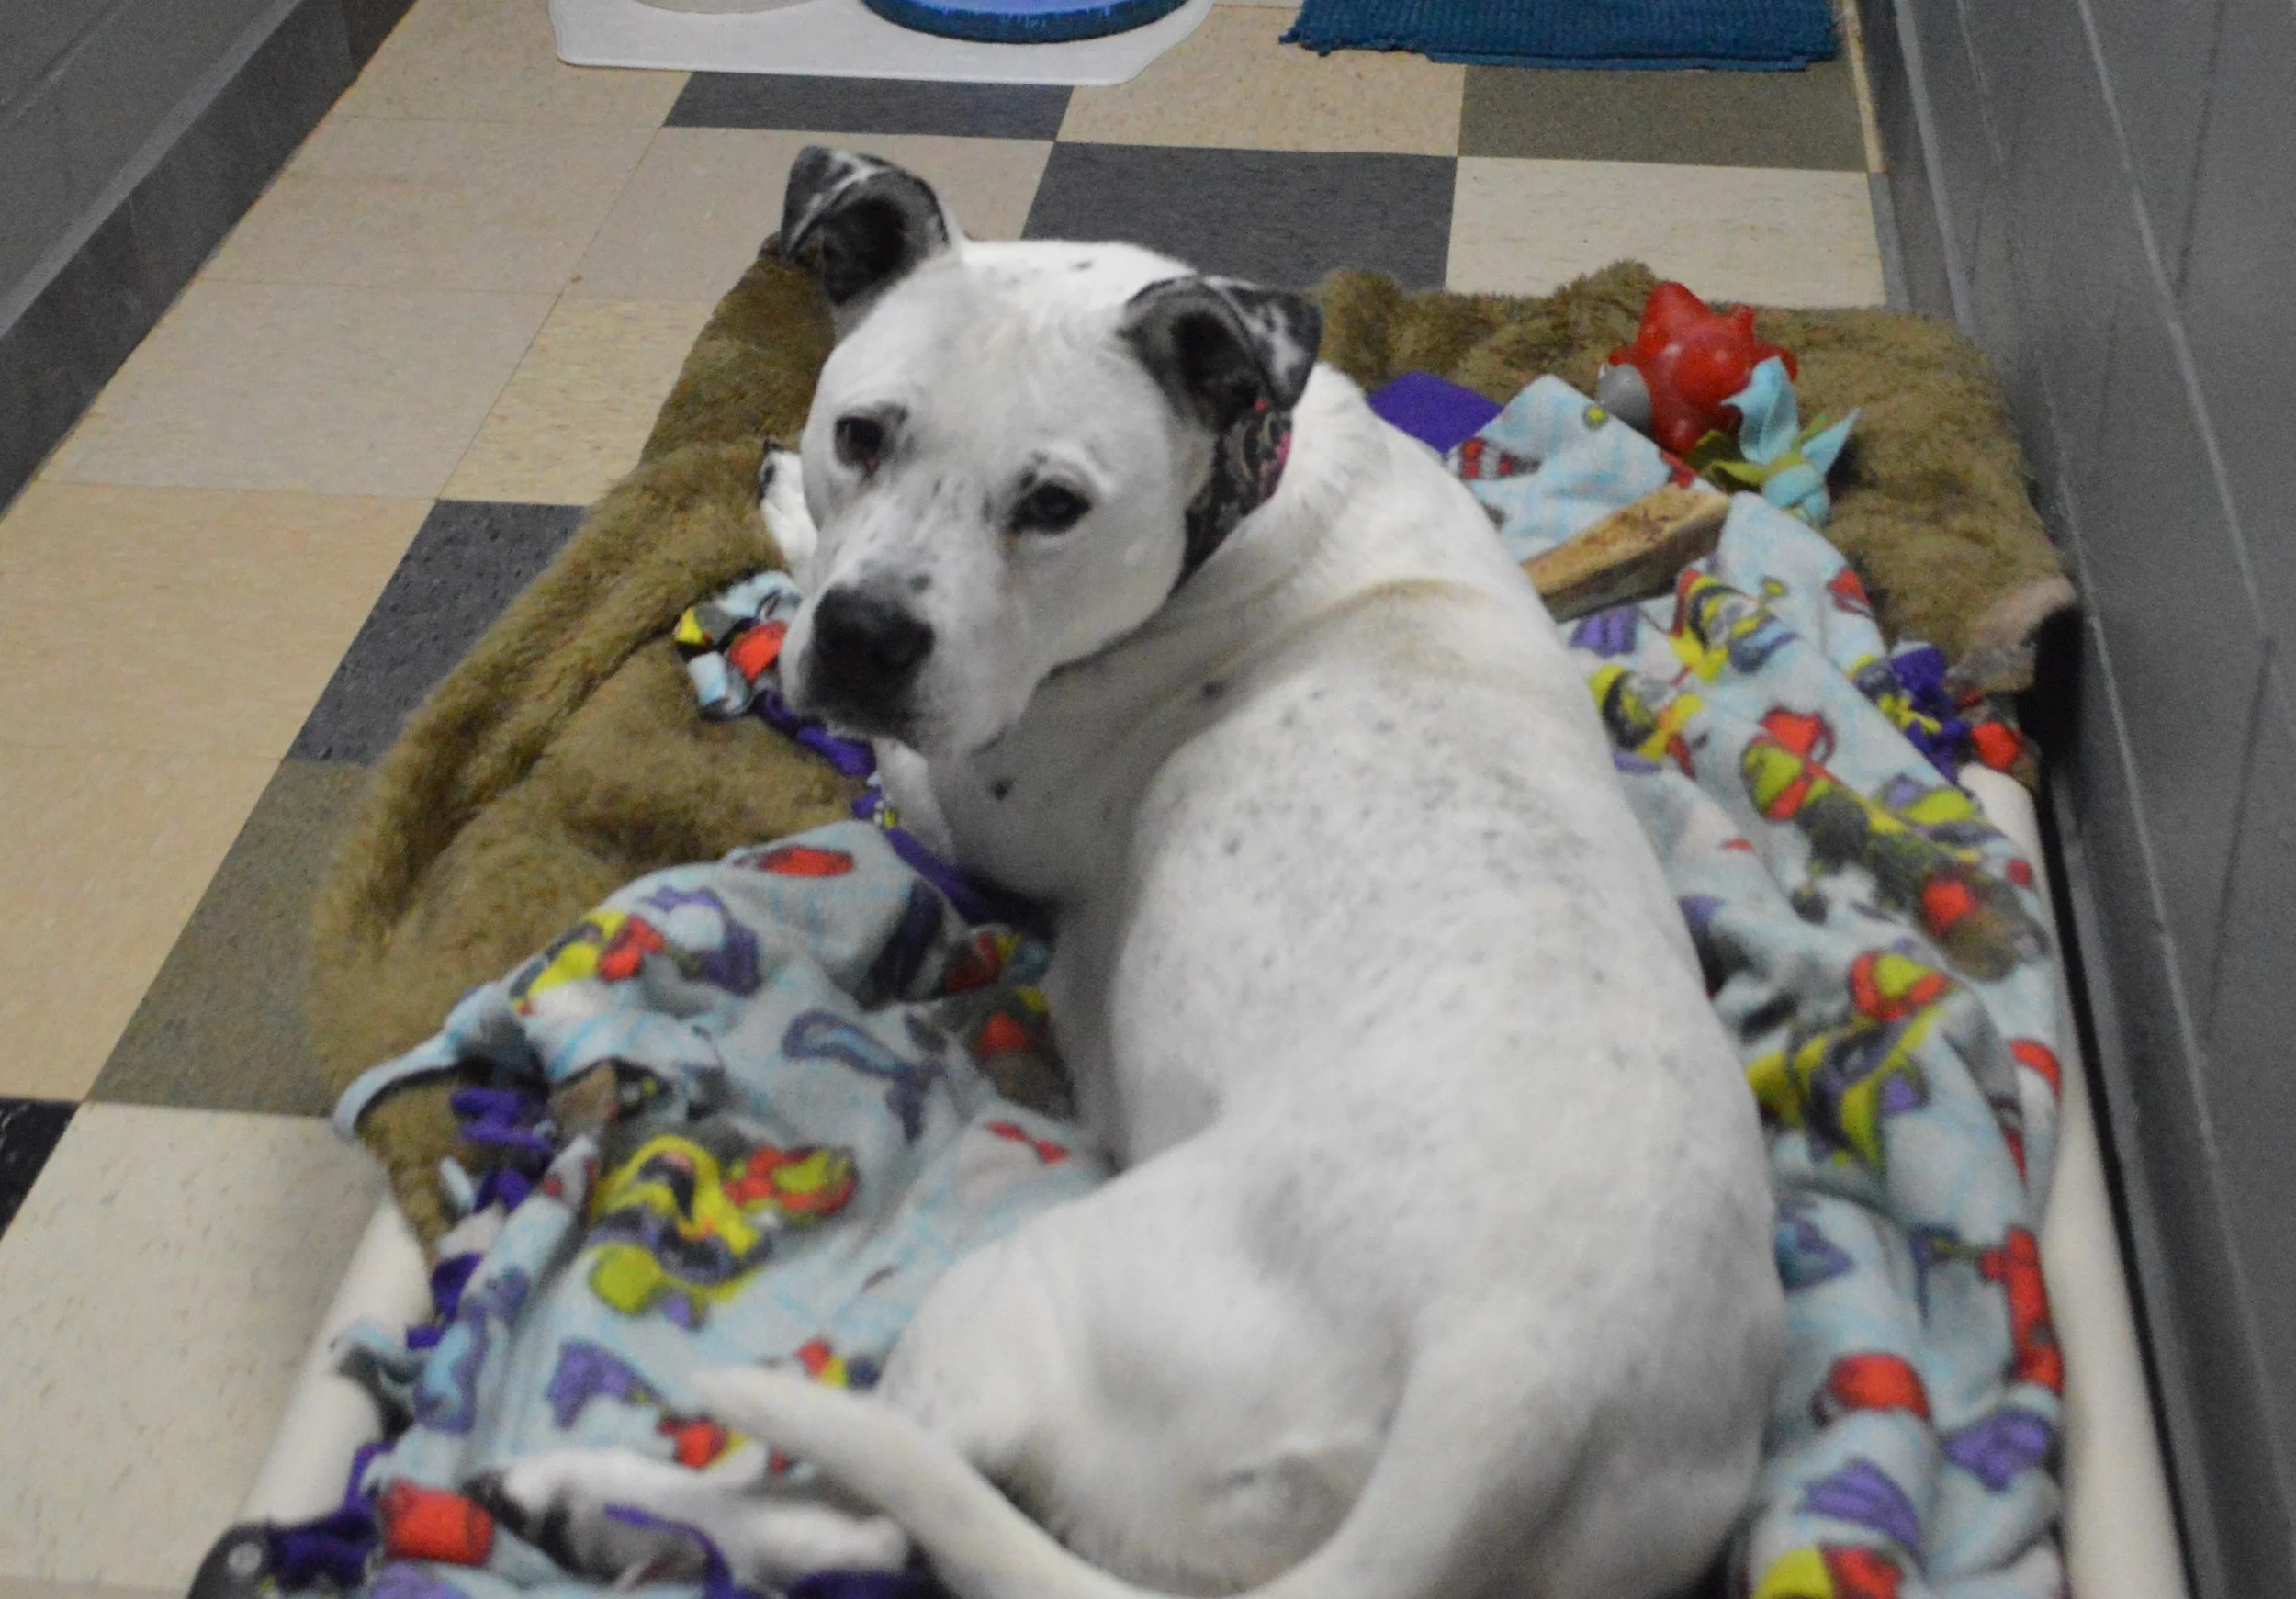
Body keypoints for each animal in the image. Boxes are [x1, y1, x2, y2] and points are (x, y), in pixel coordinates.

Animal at [476, 147, 1785, 1599]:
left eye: (1052, 506)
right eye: (863, 435)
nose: (866, 640)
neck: (1241, 502)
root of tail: (1510, 1389)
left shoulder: (966, 794)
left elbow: (877, 716)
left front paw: (775, 520)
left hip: (1017, 1298)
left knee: (872, 1509)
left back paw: (586, 1490)